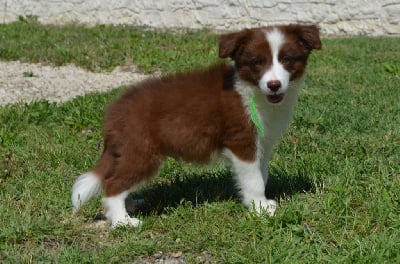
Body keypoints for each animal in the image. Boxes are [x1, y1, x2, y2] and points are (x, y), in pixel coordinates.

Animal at [71, 23, 322, 228]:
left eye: (287, 59)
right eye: (257, 63)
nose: (274, 85)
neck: (251, 90)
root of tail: (113, 113)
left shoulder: (262, 142)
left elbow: (262, 173)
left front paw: (261, 204)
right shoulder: (241, 141)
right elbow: (254, 180)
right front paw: (259, 208)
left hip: (129, 152)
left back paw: (131, 204)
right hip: (142, 151)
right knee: (112, 184)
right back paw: (123, 221)